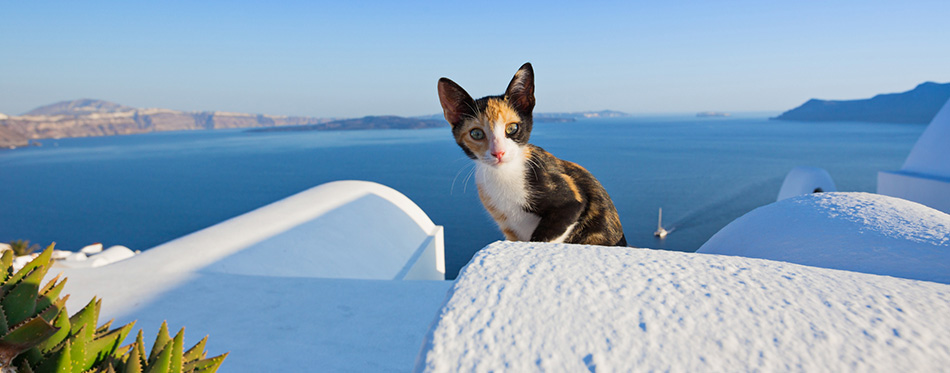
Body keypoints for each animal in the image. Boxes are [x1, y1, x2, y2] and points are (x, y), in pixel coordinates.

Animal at [440, 62, 632, 246]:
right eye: (476, 134)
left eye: (512, 128)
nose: (499, 152)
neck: (504, 174)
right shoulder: (510, 229)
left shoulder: (571, 200)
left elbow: (546, 235)